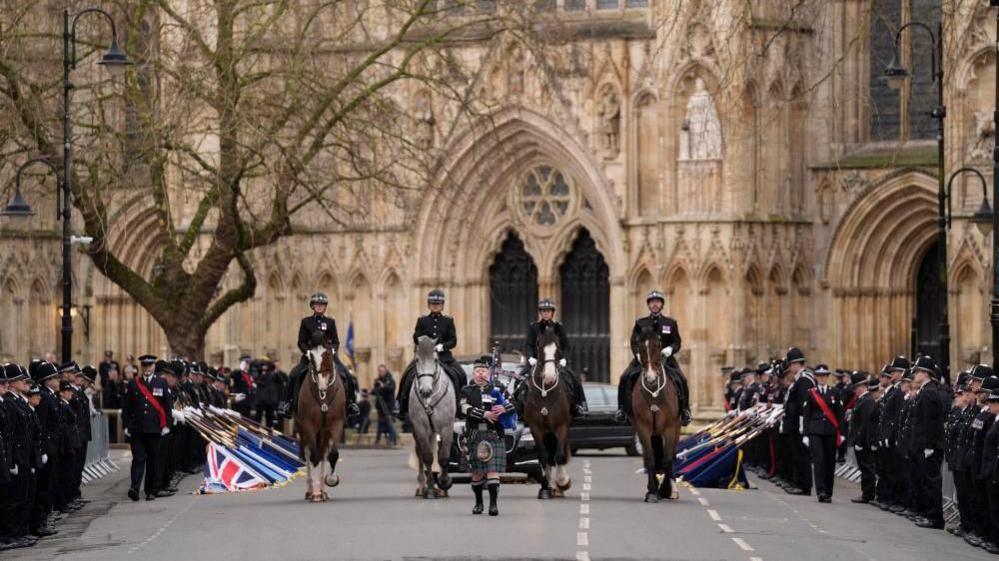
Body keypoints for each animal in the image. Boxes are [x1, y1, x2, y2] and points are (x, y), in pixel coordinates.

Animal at [292, 342, 348, 504]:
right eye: (311, 357)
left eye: (328, 355)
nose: (322, 386)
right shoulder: (308, 425)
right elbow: (313, 456)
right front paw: (315, 493)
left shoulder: (336, 424)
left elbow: (332, 454)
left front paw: (331, 480)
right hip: (303, 429)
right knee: (309, 453)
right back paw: (311, 491)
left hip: (323, 431)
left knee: (323, 452)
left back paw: (323, 491)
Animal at [520, 328, 576, 498]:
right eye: (539, 346)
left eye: (558, 348)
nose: (550, 377)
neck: (545, 393)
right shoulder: (536, 428)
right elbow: (543, 456)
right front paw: (545, 487)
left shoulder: (562, 425)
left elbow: (559, 455)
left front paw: (562, 482)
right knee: (549, 455)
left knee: (558, 454)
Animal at [632, 330, 688, 500]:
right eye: (640, 346)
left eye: (658, 345)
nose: (650, 378)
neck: (654, 394)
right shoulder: (643, 427)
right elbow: (650, 458)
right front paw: (652, 491)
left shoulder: (670, 428)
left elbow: (667, 459)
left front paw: (665, 489)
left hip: (676, 429)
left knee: (671, 455)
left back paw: (671, 488)